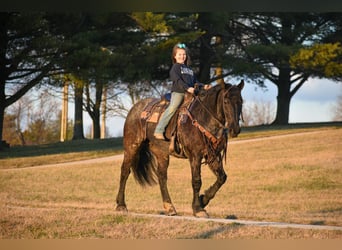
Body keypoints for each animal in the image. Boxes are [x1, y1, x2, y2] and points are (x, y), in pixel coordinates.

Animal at [116, 80, 244, 217]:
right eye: (226, 101)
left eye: (241, 101)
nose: (235, 129)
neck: (203, 117)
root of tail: (135, 108)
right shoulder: (195, 156)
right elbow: (196, 181)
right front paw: (198, 208)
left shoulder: (211, 155)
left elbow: (222, 178)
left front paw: (203, 200)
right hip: (131, 147)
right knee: (125, 172)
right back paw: (121, 205)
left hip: (161, 153)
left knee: (162, 177)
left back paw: (169, 207)